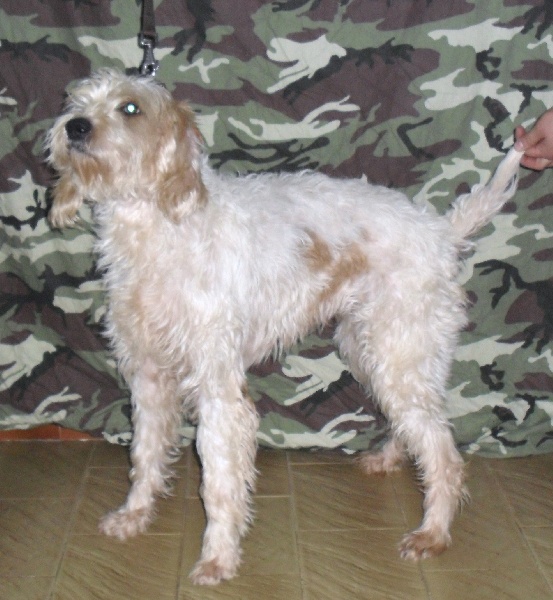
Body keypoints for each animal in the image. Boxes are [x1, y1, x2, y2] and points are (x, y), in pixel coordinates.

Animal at [46, 69, 522, 585]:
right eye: (77, 102)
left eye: (130, 108)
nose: (75, 127)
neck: (158, 224)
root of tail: (439, 231)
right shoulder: (149, 377)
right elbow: (144, 456)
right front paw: (134, 515)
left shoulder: (218, 389)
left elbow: (219, 483)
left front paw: (217, 557)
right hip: (370, 352)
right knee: (418, 426)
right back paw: (391, 458)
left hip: (399, 355)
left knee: (443, 453)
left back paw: (432, 532)